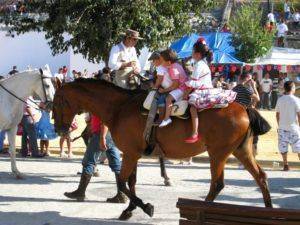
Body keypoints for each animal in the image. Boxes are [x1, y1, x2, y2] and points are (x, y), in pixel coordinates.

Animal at [52, 78, 274, 220]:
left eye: (57, 101)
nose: (59, 128)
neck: (120, 108)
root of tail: (244, 107)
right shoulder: (133, 154)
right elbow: (131, 182)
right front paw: (129, 210)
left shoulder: (130, 154)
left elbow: (122, 182)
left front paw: (145, 207)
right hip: (241, 151)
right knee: (261, 177)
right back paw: (269, 210)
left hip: (218, 154)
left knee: (217, 184)